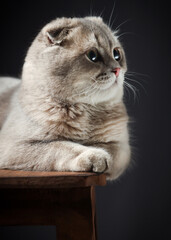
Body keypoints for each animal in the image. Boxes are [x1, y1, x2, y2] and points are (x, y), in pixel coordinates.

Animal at [0, 16, 130, 180]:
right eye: (92, 56)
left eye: (116, 54)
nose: (117, 69)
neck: (88, 111)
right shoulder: (16, 146)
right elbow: (61, 146)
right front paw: (94, 156)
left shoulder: (121, 146)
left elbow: (108, 149)